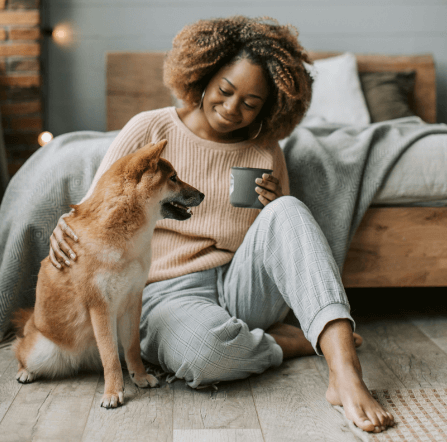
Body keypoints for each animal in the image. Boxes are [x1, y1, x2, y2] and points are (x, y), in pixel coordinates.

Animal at [12, 140, 205, 410]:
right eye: (174, 178)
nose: (202, 194)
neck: (126, 239)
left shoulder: (133, 300)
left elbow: (132, 348)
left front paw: (140, 376)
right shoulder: (100, 306)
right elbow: (110, 356)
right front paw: (113, 393)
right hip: (41, 351)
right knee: (19, 347)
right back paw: (24, 371)